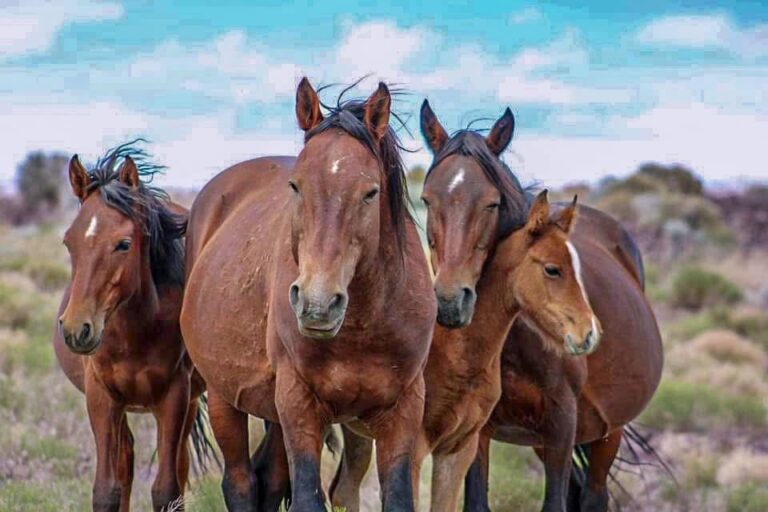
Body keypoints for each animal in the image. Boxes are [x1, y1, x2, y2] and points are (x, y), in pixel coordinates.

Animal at [53, 142, 209, 512]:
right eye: (69, 242)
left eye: (123, 243)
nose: (77, 328)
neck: (134, 335)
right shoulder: (101, 397)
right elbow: (107, 490)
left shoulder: (175, 396)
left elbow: (167, 489)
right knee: (125, 462)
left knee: (178, 465)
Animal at [180, 78, 436, 511]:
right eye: (295, 186)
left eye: (370, 192)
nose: (317, 304)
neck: (363, 327)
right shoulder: (298, 405)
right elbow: (305, 497)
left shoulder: (404, 407)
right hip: (224, 397)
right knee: (240, 483)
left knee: (267, 480)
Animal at [417, 101, 663, 512]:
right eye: (425, 200)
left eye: (492, 203)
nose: (451, 301)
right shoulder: (477, 427)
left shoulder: (562, 423)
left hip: (606, 432)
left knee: (594, 497)